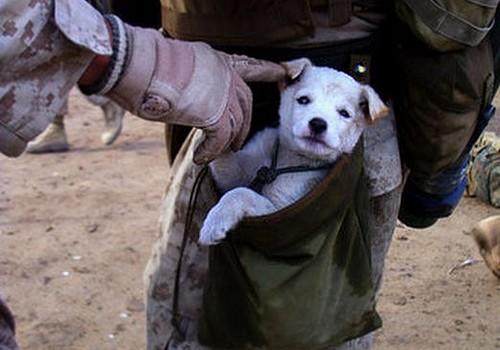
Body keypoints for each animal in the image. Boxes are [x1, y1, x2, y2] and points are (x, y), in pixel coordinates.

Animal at [197, 58, 388, 245]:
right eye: (303, 100)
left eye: (344, 113)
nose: (318, 124)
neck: (289, 159)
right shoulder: (236, 173)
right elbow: (225, 162)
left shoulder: (279, 212)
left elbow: (241, 193)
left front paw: (215, 223)